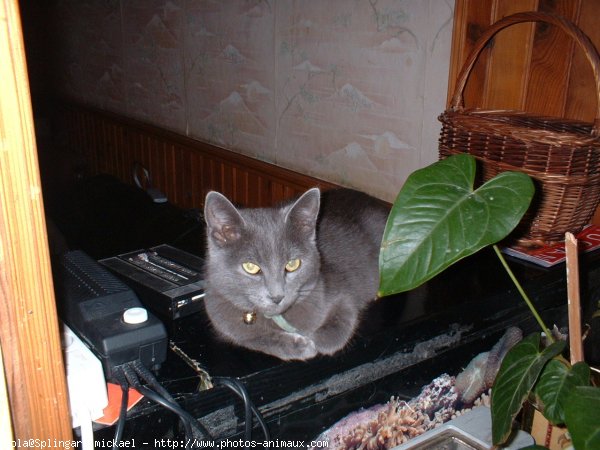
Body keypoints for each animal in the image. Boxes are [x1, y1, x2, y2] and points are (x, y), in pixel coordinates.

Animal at [203, 188, 390, 360]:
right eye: (251, 267)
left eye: (292, 264)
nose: (277, 296)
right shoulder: (220, 314)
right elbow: (248, 335)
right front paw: (298, 345)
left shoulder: (341, 293)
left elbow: (344, 314)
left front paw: (315, 339)